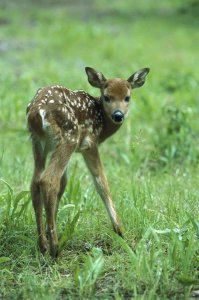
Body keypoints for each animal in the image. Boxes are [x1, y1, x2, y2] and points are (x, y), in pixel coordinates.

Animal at [26, 67, 149, 256]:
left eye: (127, 97)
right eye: (107, 97)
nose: (118, 115)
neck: (102, 124)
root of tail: (37, 112)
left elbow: (64, 184)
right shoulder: (89, 144)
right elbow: (101, 183)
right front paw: (120, 231)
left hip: (38, 143)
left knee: (36, 181)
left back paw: (43, 245)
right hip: (69, 137)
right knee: (48, 180)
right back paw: (55, 248)